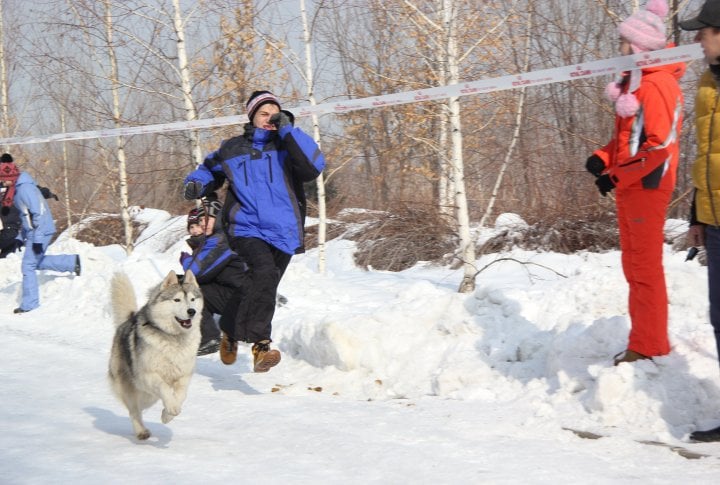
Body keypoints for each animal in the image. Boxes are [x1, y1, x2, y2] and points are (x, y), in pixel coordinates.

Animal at [108, 270, 202, 440]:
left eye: (192, 299)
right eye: (177, 299)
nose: (192, 311)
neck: (174, 338)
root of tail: (127, 321)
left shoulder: (184, 376)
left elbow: (181, 394)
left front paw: (168, 415)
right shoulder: (147, 375)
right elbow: (164, 387)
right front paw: (171, 407)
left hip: (148, 396)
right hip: (132, 387)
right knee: (134, 410)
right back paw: (141, 431)